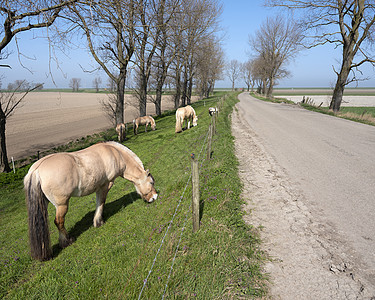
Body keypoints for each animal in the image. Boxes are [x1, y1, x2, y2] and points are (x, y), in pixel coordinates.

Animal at [24, 141, 158, 260]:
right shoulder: (105, 185)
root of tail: (36, 169)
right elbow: (101, 203)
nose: (154, 197)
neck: (115, 154)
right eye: (151, 182)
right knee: (59, 221)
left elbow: (99, 202)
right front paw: (98, 222)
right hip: (62, 204)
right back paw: (66, 241)